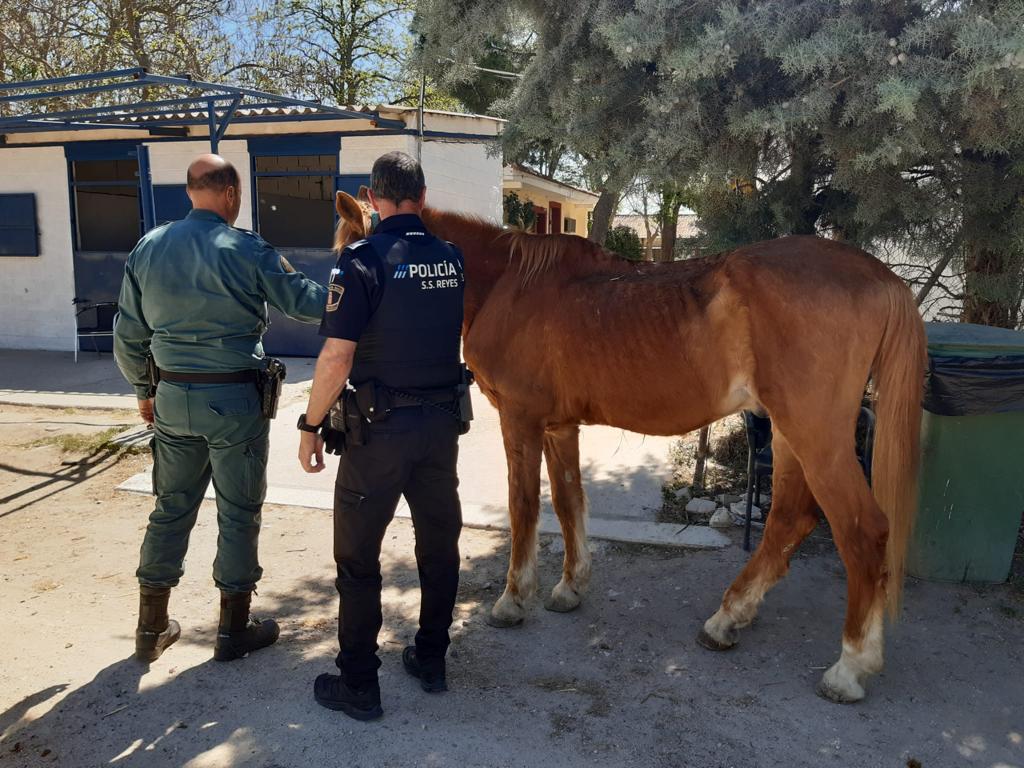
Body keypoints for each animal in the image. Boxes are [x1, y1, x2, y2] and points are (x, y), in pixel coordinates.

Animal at [333, 191, 929, 704]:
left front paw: (513, 599)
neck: (506, 283)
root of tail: (879, 275)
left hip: (816, 434)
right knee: (789, 518)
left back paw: (849, 667)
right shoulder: (560, 428)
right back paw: (730, 618)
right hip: (787, 433)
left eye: (346, 261)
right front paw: (570, 588)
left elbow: (524, 508)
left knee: (862, 531)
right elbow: (569, 503)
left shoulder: (521, 422)